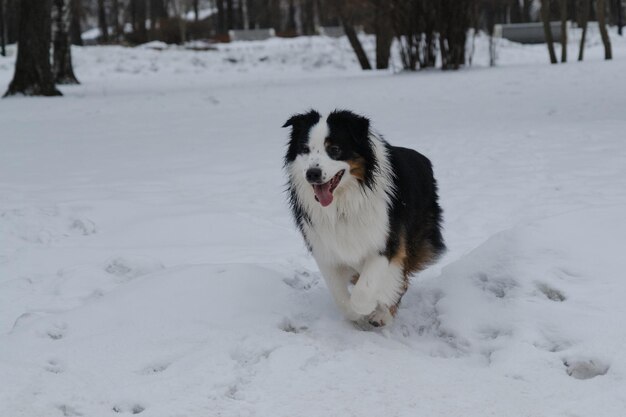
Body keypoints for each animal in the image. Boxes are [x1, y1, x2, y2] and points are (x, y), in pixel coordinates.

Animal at [282, 110, 444, 328]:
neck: (344, 202)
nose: (312, 174)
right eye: (305, 149)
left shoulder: (386, 241)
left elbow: (364, 291)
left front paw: (370, 307)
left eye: (334, 149)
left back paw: (383, 313)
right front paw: (355, 315)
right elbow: (341, 297)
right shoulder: (325, 247)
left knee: (402, 280)